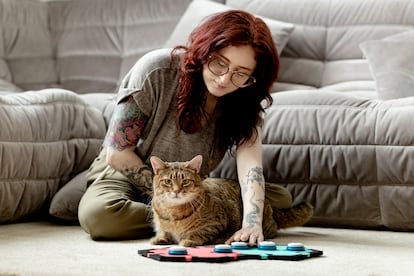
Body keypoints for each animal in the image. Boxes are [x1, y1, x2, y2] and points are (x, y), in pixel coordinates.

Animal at [147, 154, 312, 247]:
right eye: (168, 181)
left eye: (186, 181)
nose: (176, 191)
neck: (173, 214)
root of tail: (268, 204)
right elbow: (164, 231)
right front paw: (160, 238)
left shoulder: (215, 224)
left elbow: (199, 232)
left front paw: (189, 240)